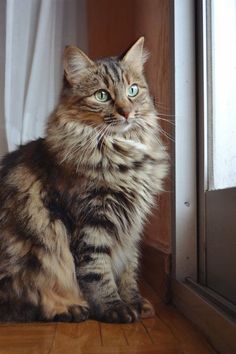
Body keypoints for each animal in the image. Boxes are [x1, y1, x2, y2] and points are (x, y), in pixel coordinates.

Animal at [0, 37, 168, 322]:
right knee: (24, 301)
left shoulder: (131, 227)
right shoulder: (92, 220)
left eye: (133, 90)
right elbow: (97, 271)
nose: (126, 112)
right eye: (102, 95)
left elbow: (129, 269)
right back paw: (70, 309)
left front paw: (135, 302)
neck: (120, 153)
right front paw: (115, 308)